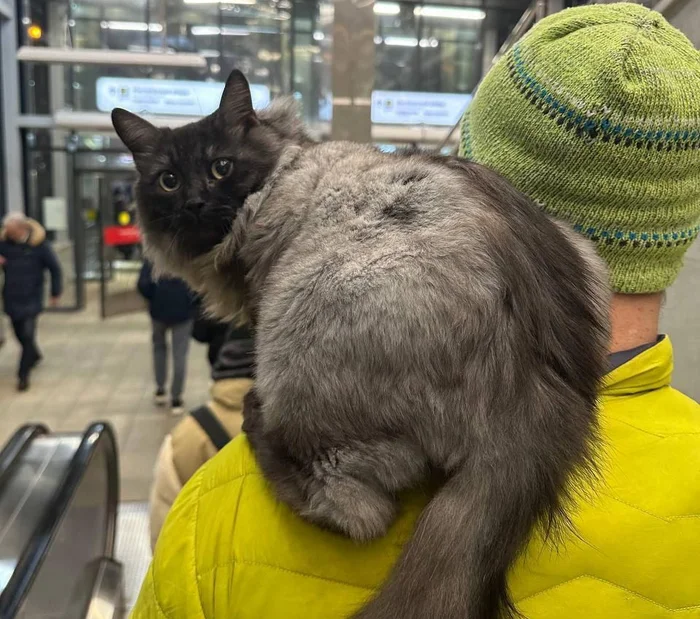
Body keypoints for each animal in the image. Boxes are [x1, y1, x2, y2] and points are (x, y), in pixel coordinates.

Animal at [112, 72, 608, 619]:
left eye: (221, 167)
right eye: (168, 180)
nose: (195, 202)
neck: (285, 164)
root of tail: (531, 382)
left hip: (299, 337)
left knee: (356, 511)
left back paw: (256, 422)